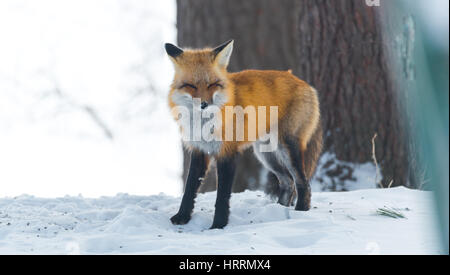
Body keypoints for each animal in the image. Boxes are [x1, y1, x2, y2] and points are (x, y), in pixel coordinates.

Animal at [165, 40, 324, 230]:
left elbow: (222, 196)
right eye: (191, 86)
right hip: (266, 155)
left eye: (212, 84)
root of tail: (305, 84)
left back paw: (300, 213)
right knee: (288, 182)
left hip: (287, 149)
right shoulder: (199, 150)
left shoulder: (227, 153)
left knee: (303, 183)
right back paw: (277, 211)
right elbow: (189, 190)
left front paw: (218, 225)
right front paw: (182, 216)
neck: (205, 124)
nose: (204, 104)